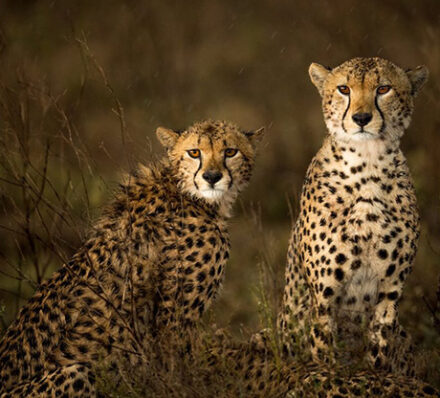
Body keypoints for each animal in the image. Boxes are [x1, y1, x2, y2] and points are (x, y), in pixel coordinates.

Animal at [0, 120, 262, 398]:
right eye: (194, 153)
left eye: (230, 151)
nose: (211, 177)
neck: (186, 193)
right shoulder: (175, 319)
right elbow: (183, 372)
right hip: (78, 371)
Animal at [278, 56, 430, 376]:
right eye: (344, 89)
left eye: (383, 88)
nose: (361, 118)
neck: (368, 163)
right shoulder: (325, 296)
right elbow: (324, 352)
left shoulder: (390, 291)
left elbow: (380, 347)